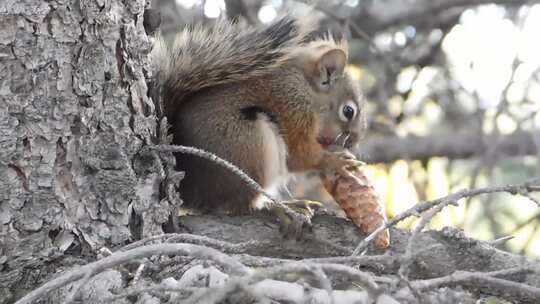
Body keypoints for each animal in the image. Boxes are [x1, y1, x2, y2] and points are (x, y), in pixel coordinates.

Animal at [152, 14, 368, 235]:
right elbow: (299, 156)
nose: (354, 142)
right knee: (242, 205)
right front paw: (335, 161)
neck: (305, 86)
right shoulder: (292, 107)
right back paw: (282, 207)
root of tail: (193, 193)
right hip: (250, 144)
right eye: (348, 111)